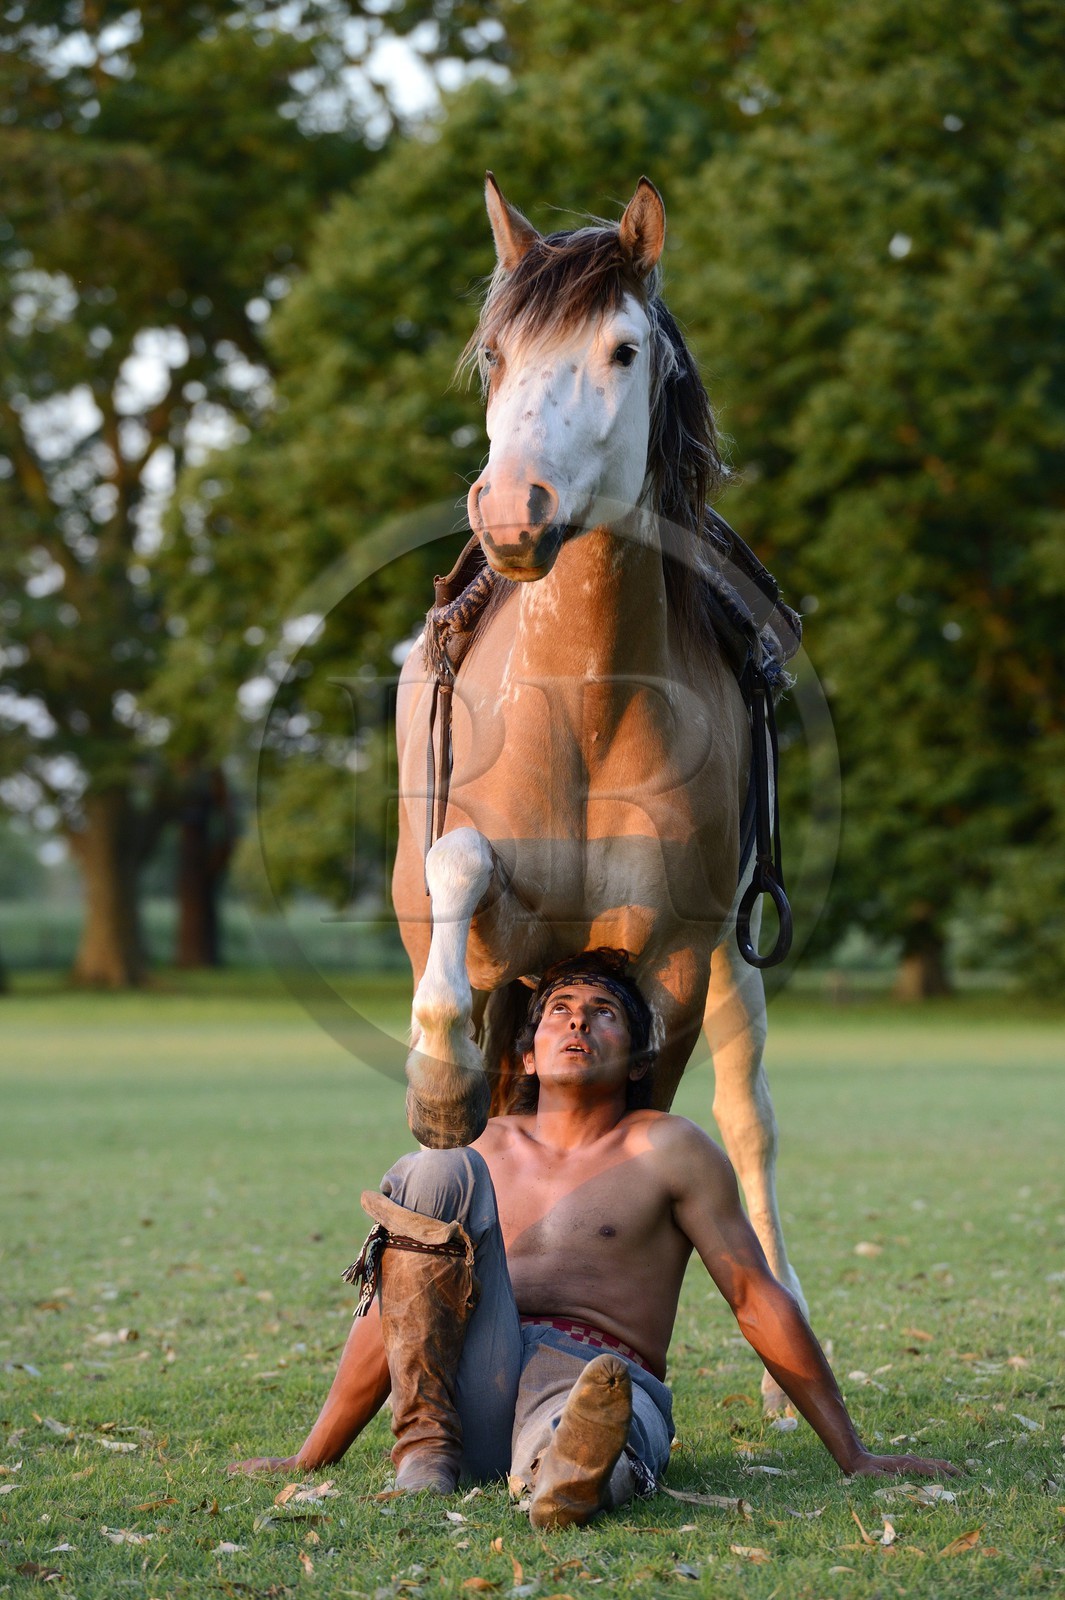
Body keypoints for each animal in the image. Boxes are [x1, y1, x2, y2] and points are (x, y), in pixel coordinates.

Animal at [391, 176, 805, 1404]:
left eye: (623, 350)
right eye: (496, 354)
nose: (512, 507)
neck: (586, 704)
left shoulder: (667, 959)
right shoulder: (492, 944)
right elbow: (458, 873)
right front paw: (438, 1078)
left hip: (729, 962)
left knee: (748, 1117)